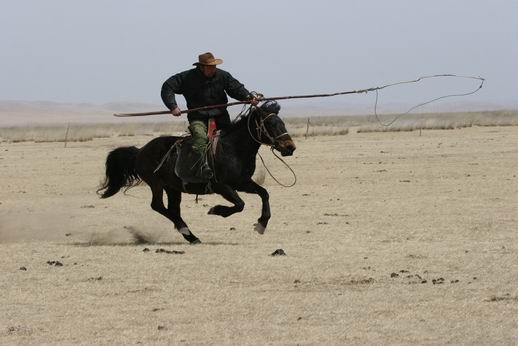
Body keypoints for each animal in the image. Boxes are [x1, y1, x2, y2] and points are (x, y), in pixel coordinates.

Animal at [97, 101, 296, 245]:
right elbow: (240, 204)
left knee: (172, 209)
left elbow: (264, 193)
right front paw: (216, 210)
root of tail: (140, 151)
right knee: (158, 206)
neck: (232, 148)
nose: (290, 147)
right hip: (156, 184)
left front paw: (261, 224)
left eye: (282, 123)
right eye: (271, 123)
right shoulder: (222, 186)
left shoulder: (242, 183)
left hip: (173, 188)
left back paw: (190, 235)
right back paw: (186, 230)